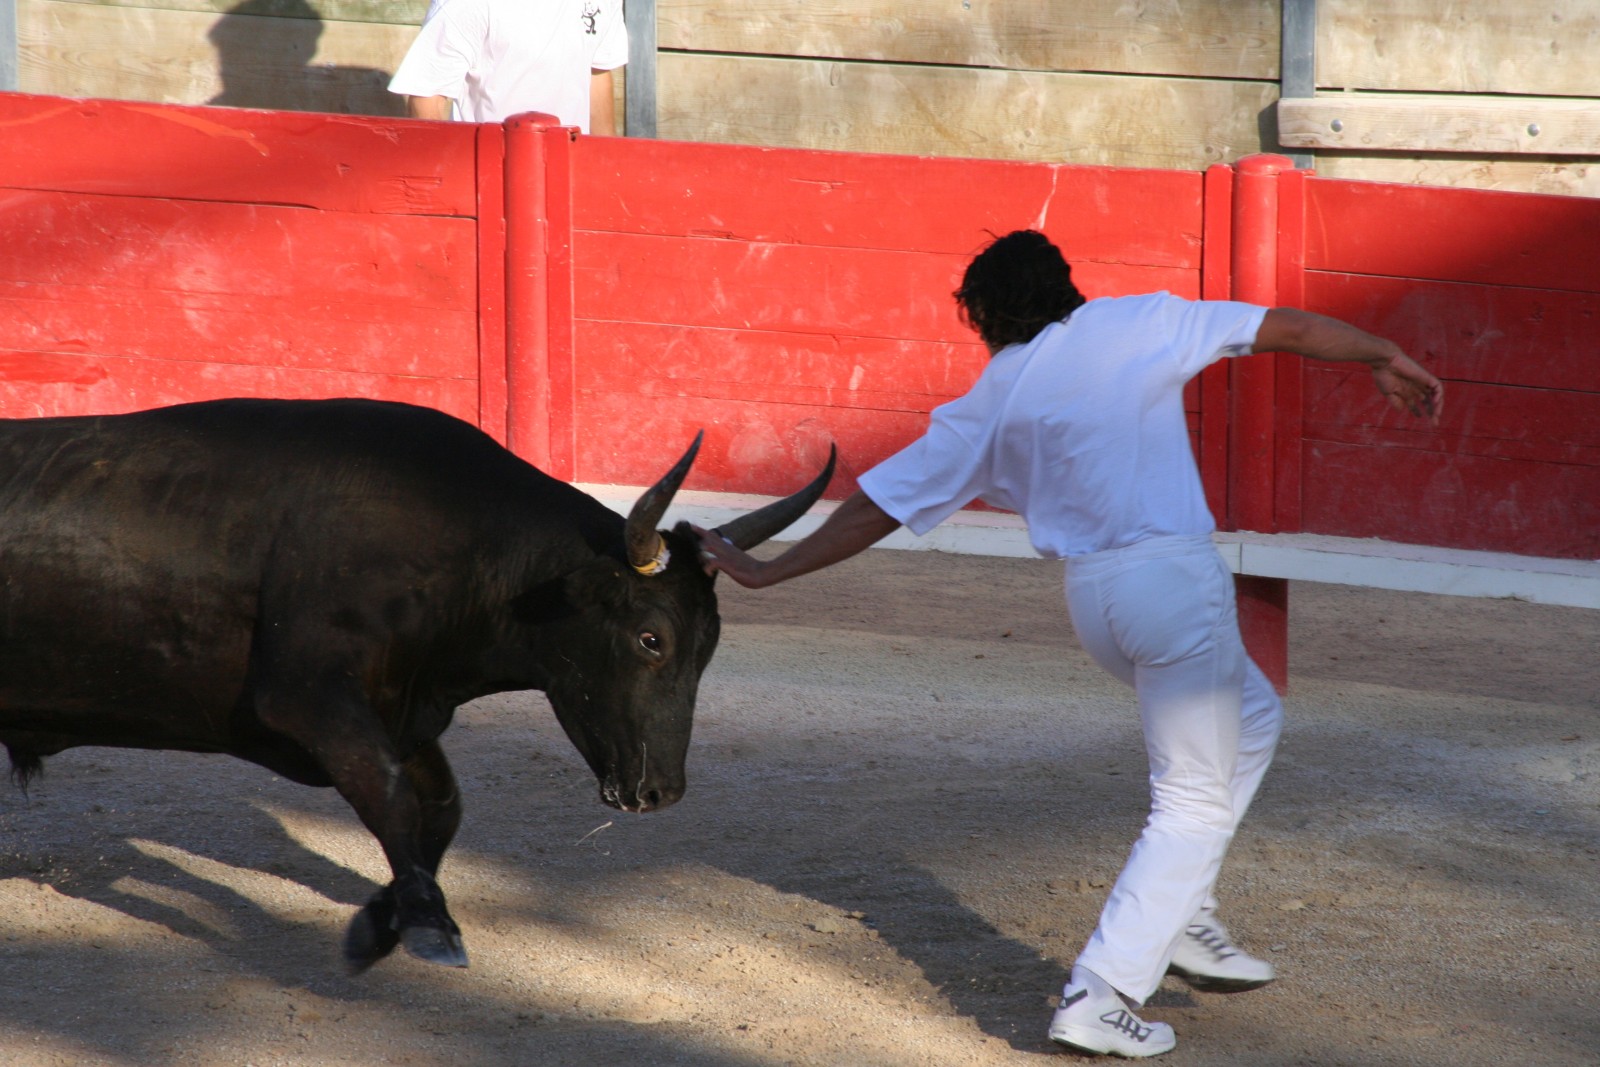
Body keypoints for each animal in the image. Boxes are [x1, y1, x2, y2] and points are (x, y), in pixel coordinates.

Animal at [3, 396, 838, 972]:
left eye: (710, 646)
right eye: (651, 638)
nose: (661, 791)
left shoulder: (405, 714)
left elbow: (439, 810)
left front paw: (383, 920)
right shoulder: (310, 702)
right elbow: (393, 797)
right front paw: (429, 927)